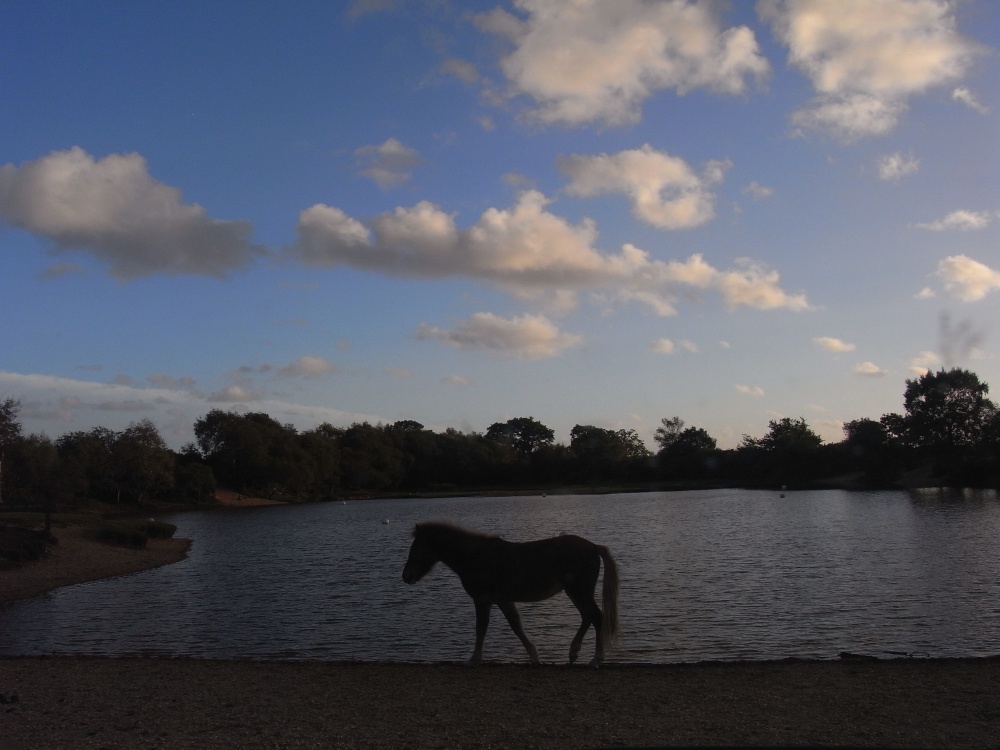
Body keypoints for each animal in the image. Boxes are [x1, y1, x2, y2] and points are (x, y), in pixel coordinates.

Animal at [398, 524, 616, 668]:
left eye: (416, 548)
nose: (406, 576)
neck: (476, 556)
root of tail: (593, 546)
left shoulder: (482, 600)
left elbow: (481, 629)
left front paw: (474, 659)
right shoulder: (503, 600)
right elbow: (516, 626)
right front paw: (534, 657)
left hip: (580, 591)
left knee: (597, 618)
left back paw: (596, 659)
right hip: (574, 592)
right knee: (587, 617)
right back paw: (574, 652)